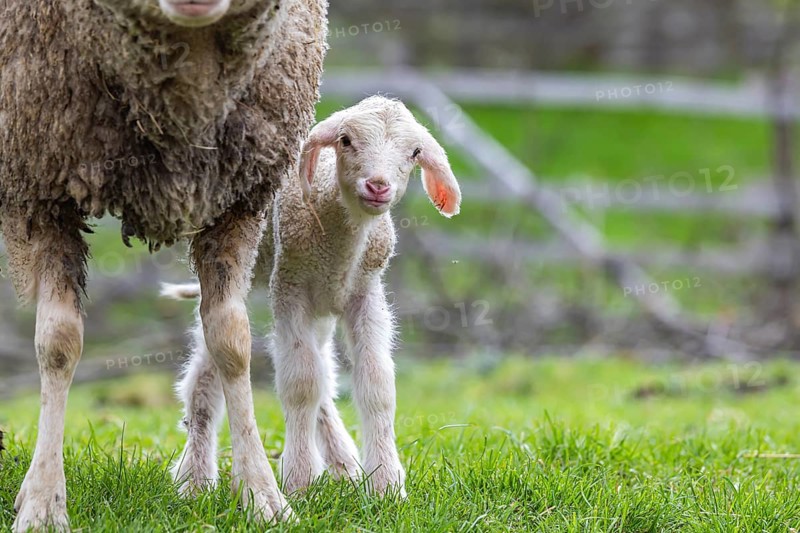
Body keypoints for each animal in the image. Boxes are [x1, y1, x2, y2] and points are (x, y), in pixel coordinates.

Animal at [0, 0, 327, 529]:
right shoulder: (37, 180)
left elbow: (232, 339)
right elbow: (58, 342)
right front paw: (43, 503)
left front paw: (263, 496)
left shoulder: (237, 195)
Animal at [162, 95, 462, 498]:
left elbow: (376, 383)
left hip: (321, 309)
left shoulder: (366, 294)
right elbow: (302, 384)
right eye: (346, 140)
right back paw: (195, 480)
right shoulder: (290, 290)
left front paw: (385, 484)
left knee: (324, 373)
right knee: (206, 381)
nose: (378, 186)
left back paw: (343, 464)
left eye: (415, 152)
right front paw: (300, 482)